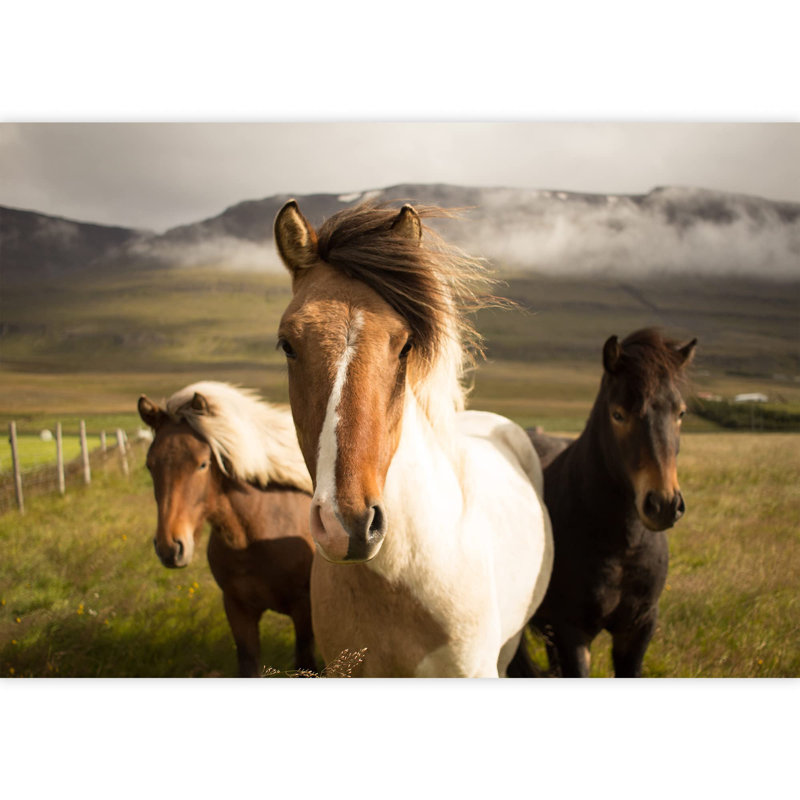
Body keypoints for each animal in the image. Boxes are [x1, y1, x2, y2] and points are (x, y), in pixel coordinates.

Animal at [137, 381, 316, 677]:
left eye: (202, 463)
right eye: (150, 465)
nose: (170, 547)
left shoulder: (304, 611)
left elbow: (306, 663)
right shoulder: (237, 609)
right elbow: (248, 664)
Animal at [515, 328, 697, 677]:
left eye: (680, 413)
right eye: (618, 414)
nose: (663, 504)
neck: (622, 546)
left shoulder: (638, 628)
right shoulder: (572, 632)